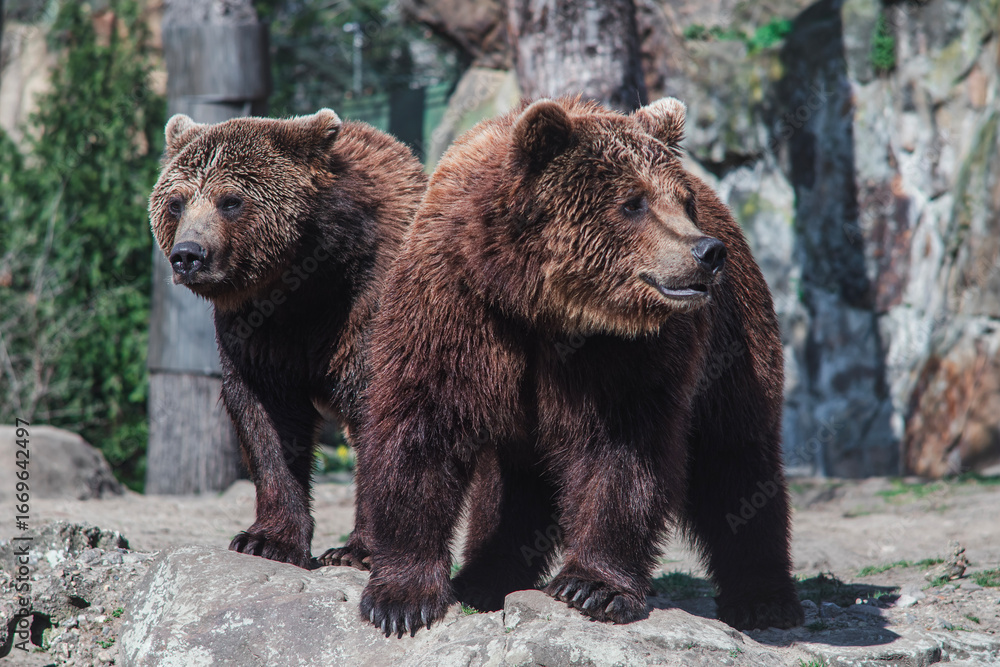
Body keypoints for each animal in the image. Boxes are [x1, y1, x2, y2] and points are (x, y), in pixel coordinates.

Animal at [148, 109, 426, 569]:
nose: (188, 255)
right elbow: (269, 420)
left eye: (231, 200)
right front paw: (266, 540)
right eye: (176, 202)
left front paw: (356, 551)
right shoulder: (255, 333)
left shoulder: (368, 306)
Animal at [355, 96, 804, 636]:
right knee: (509, 482)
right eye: (633, 202)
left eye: (682, 200)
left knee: (737, 458)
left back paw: (764, 599)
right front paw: (401, 599)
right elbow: (421, 427)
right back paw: (484, 578)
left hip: (733, 343)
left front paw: (592, 587)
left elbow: (621, 451)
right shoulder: (454, 306)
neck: (537, 304)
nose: (705, 251)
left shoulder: (626, 354)